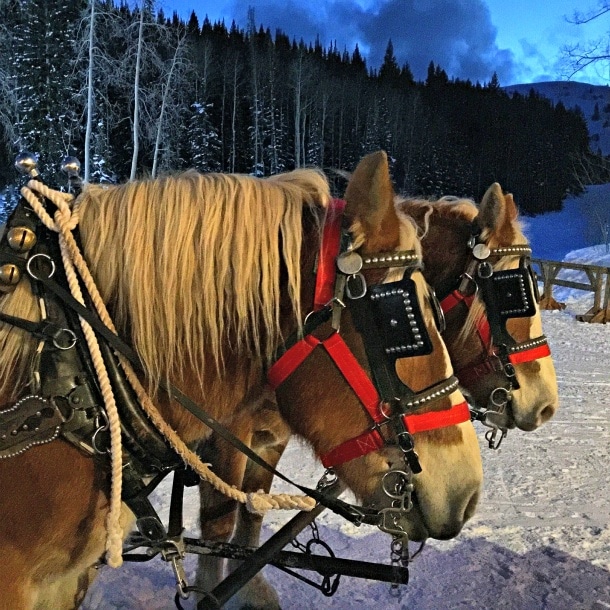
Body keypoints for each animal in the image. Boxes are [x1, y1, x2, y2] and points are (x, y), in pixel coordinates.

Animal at [197, 150, 560, 604]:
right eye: (512, 293)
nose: (546, 405)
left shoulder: (270, 437)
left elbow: (254, 507)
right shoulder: (229, 435)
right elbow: (218, 524)